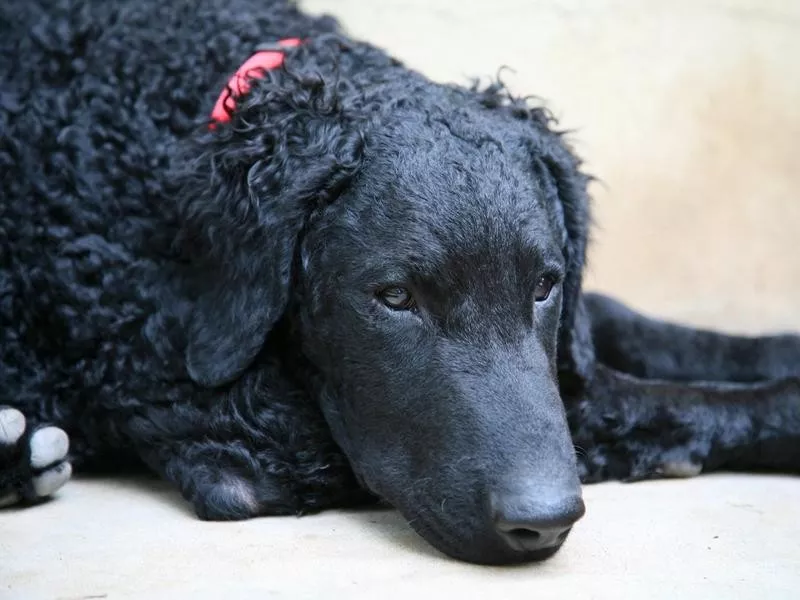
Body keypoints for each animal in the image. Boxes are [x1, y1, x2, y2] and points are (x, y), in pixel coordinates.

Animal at [1, 0, 800, 564]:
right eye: (395, 299)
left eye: (544, 285)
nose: (542, 525)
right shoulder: (243, 430)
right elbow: (641, 402)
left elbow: (635, 333)